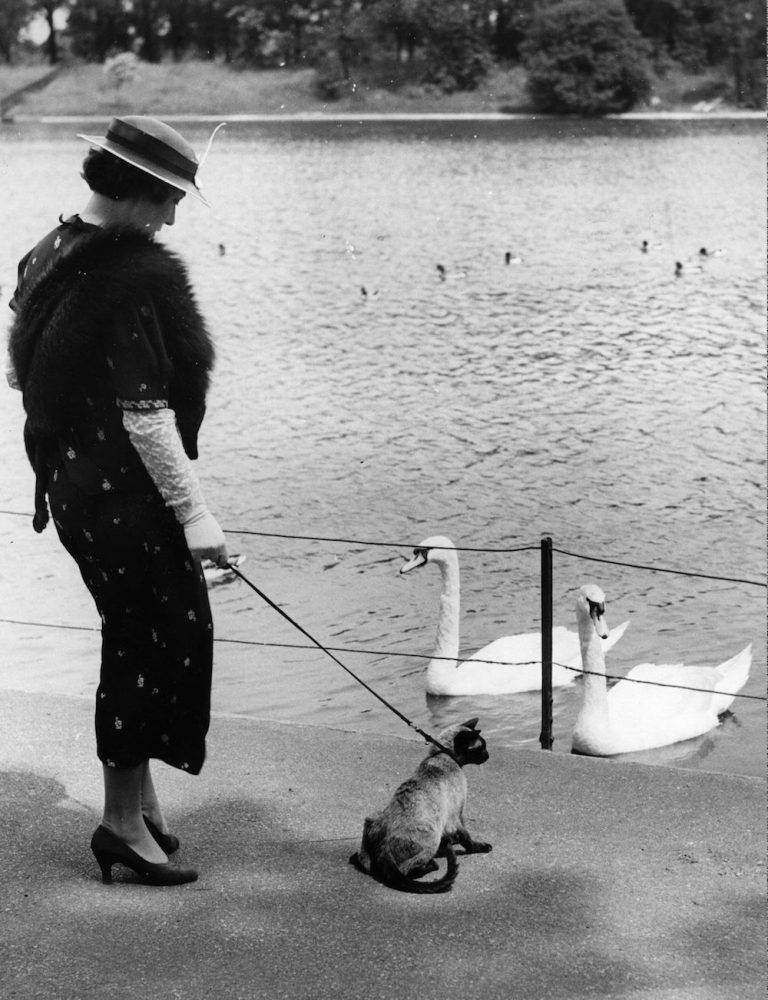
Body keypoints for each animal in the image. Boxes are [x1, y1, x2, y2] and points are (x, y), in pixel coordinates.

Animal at [349, 717, 491, 893]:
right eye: (481, 748)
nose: (488, 755)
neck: (443, 755)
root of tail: (382, 846)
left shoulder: (450, 819)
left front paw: (451, 841)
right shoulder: (455, 815)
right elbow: (466, 837)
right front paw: (479, 847)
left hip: (372, 817)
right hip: (431, 837)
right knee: (407, 871)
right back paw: (432, 864)